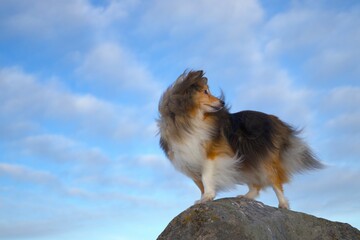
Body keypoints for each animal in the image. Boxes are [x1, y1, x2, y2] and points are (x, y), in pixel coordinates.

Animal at [158, 70, 324, 208]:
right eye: (205, 91)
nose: (222, 102)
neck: (186, 121)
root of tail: (275, 119)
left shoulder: (213, 154)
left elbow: (206, 176)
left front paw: (208, 196)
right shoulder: (188, 161)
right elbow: (200, 184)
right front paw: (204, 197)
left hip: (263, 159)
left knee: (276, 181)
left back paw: (283, 204)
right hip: (247, 159)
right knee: (256, 184)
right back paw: (247, 197)